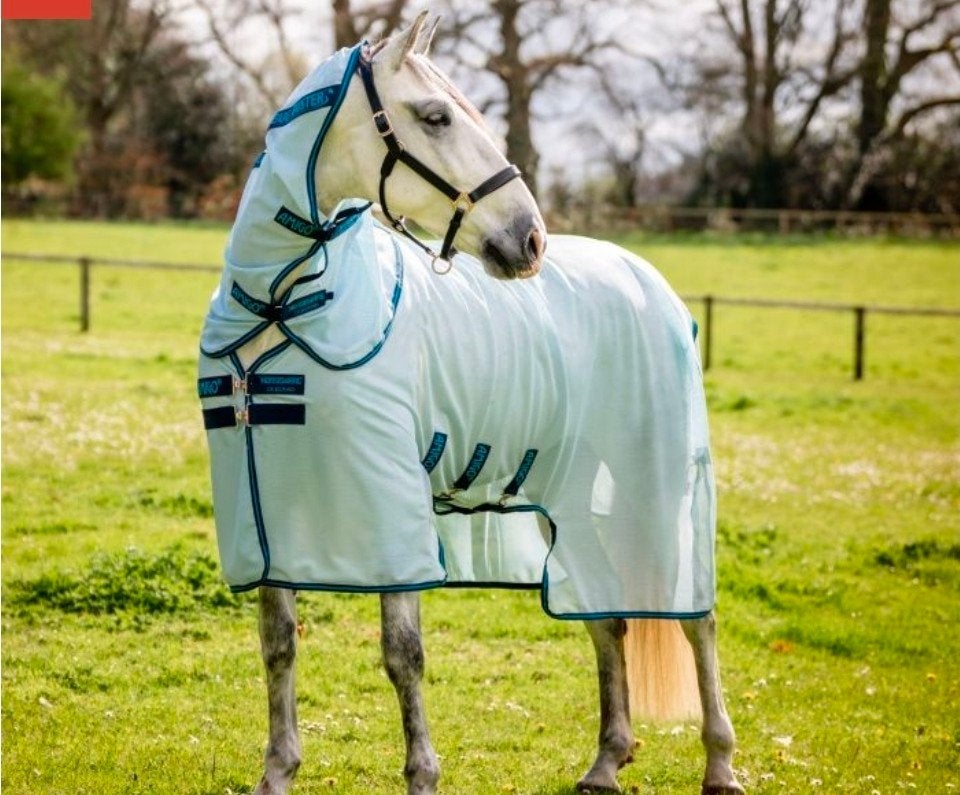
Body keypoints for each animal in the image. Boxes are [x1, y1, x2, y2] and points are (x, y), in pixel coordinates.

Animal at [197, 13, 743, 795]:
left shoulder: (389, 512)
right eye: (435, 116)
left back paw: (721, 764)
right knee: (607, 616)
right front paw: (278, 771)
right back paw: (606, 760)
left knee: (695, 617)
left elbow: (402, 653)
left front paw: (422, 773)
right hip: (567, 498)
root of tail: (647, 279)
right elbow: (278, 646)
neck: (280, 307)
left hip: (658, 485)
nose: (529, 238)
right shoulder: (269, 512)